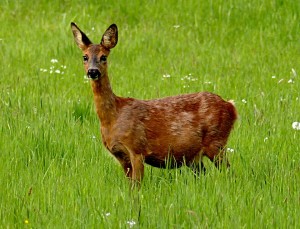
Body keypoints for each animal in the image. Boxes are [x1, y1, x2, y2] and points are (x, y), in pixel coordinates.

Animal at [71, 21, 238, 186]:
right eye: (85, 57)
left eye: (103, 57)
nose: (93, 71)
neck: (113, 118)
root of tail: (231, 106)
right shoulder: (120, 155)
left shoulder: (137, 148)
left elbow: (137, 186)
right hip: (195, 156)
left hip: (216, 142)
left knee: (230, 173)